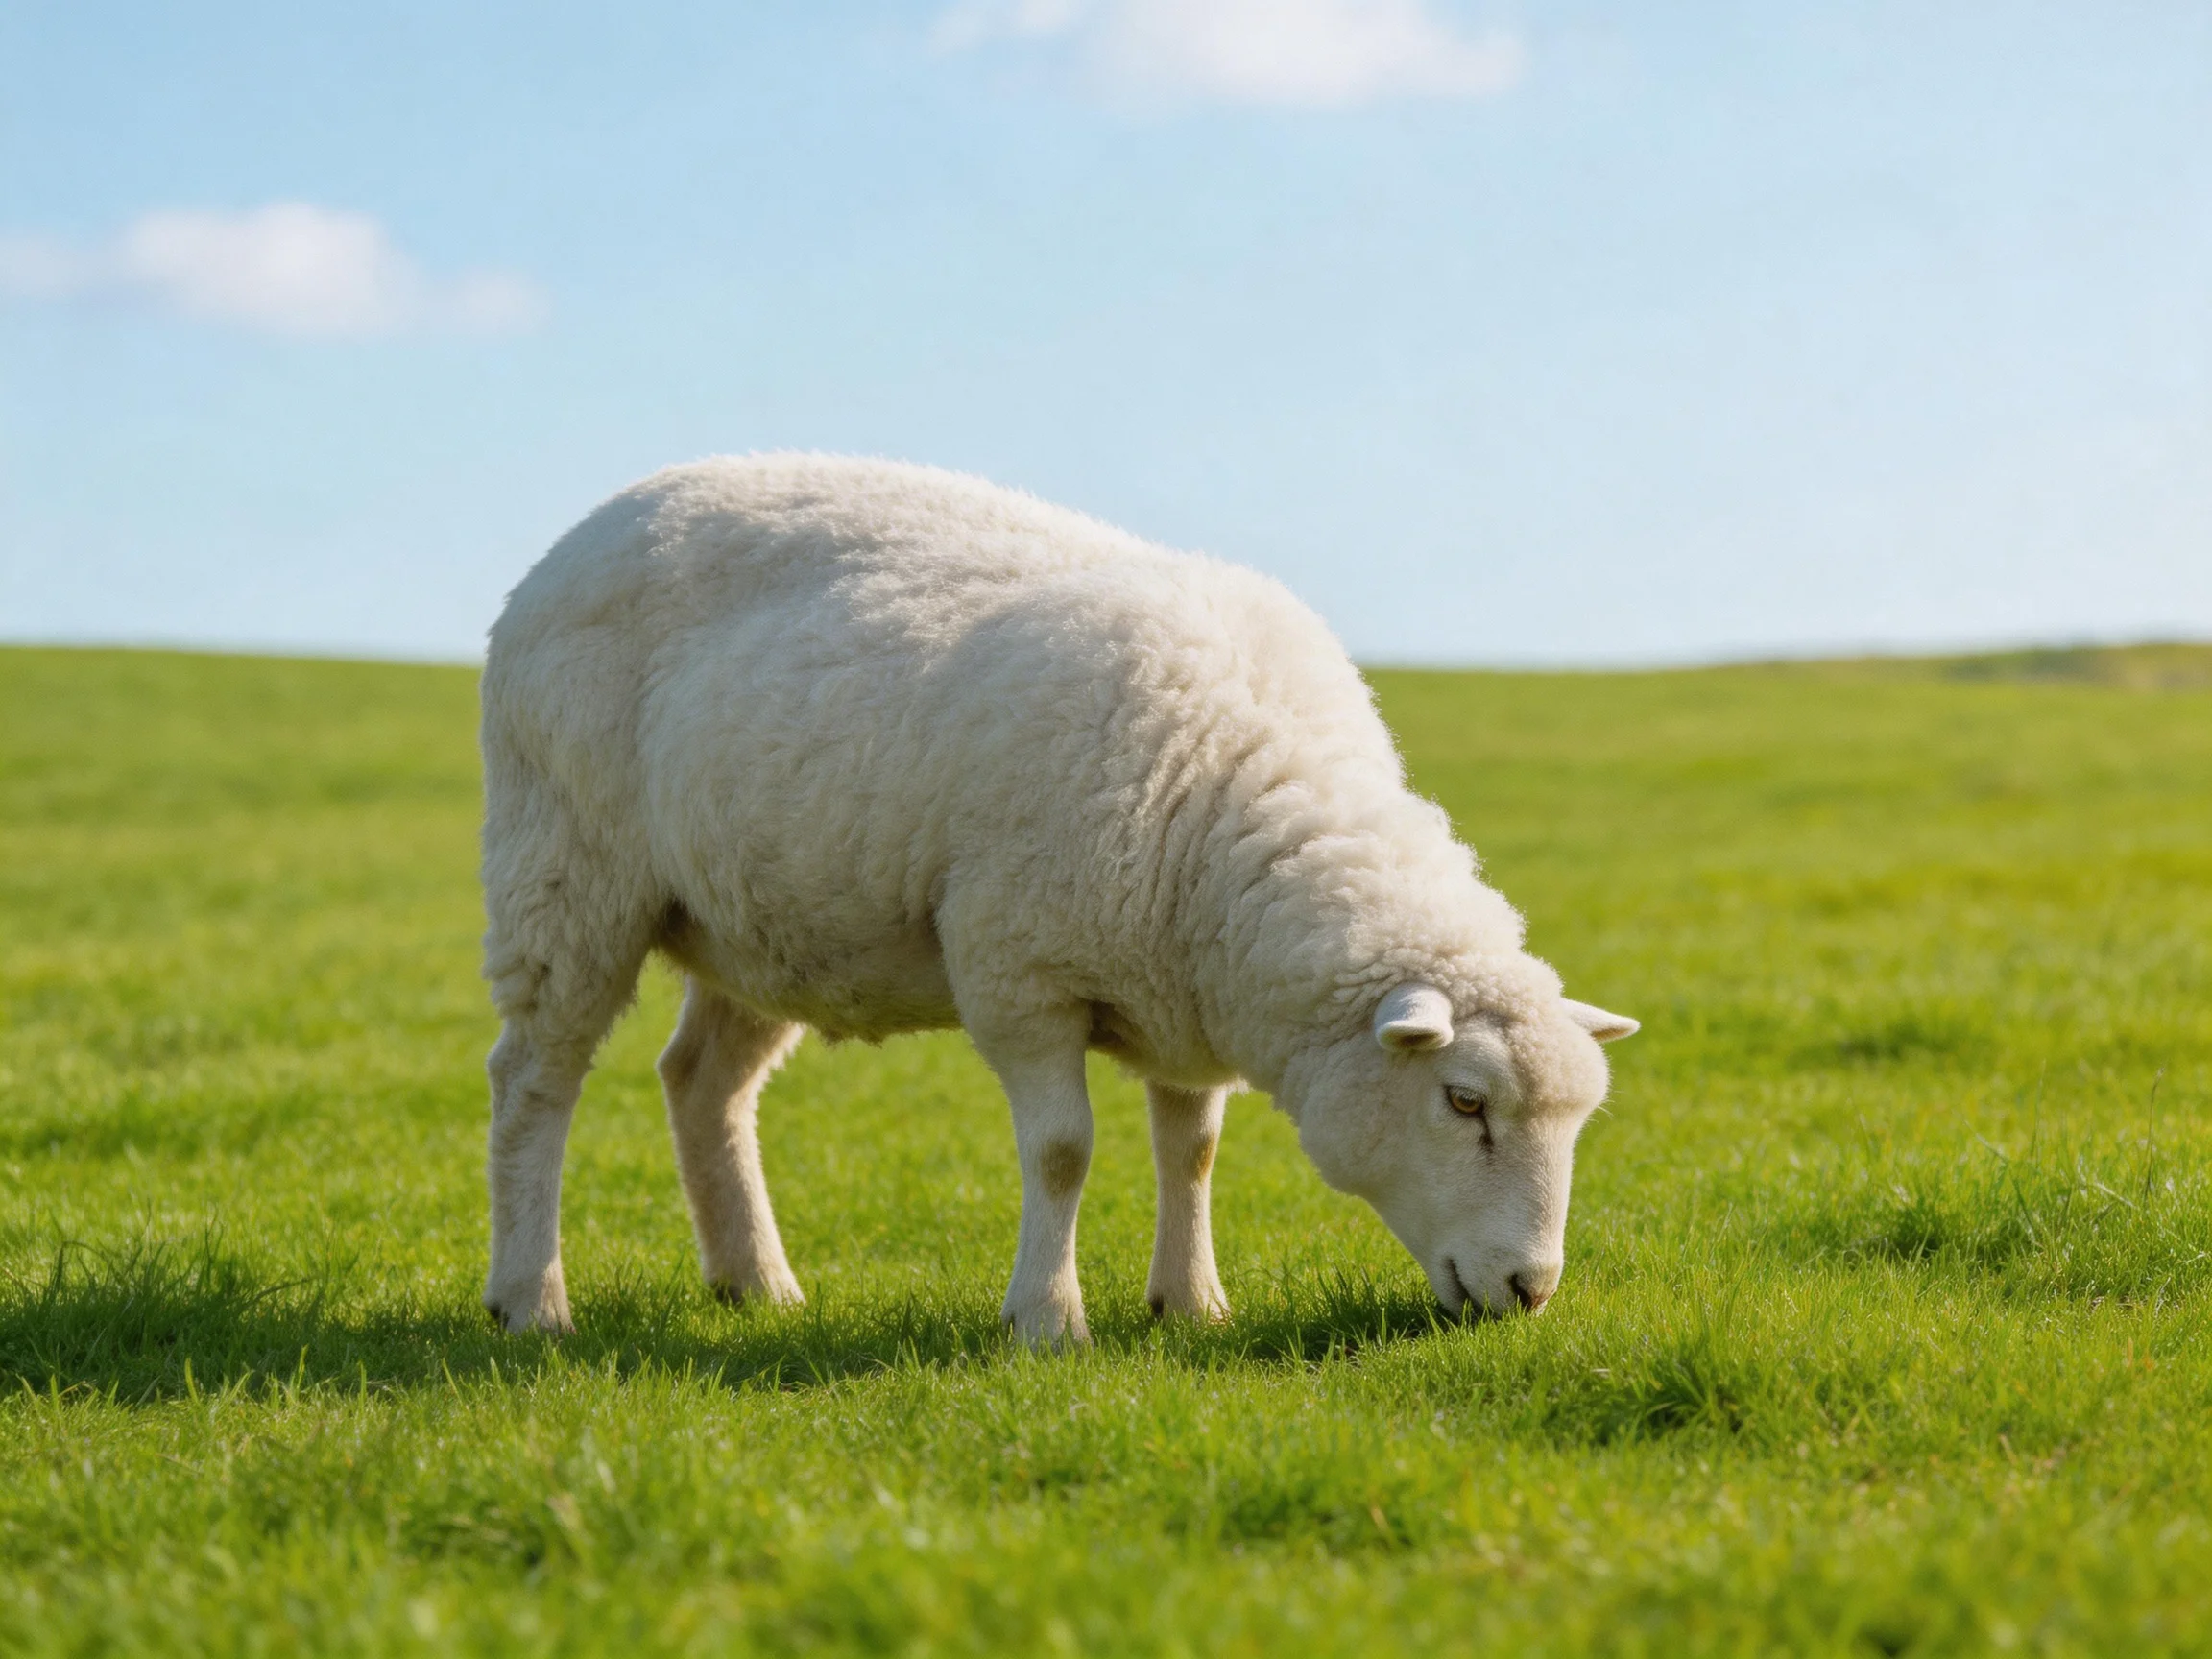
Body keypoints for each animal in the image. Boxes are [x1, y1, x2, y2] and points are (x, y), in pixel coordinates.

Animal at [478, 453, 1637, 1343]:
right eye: (1464, 1101)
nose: (1533, 1291)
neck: (1231, 791)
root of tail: (596, 523)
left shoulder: (1184, 991)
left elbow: (1192, 1148)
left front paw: (1191, 1302)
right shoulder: (1019, 972)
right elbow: (1063, 1151)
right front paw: (1045, 1320)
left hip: (754, 919)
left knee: (702, 1084)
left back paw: (756, 1284)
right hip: (565, 868)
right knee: (535, 1081)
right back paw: (531, 1301)